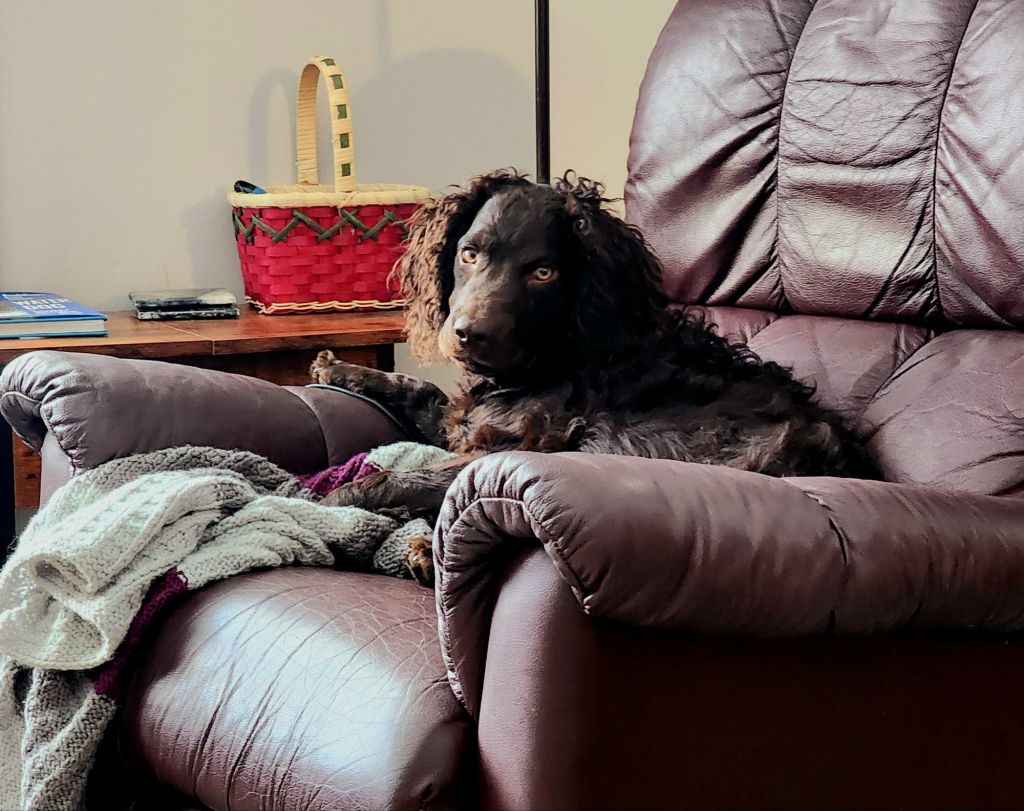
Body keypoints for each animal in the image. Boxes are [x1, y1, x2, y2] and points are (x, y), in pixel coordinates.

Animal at [312, 170, 875, 584]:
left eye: (543, 273)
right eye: (469, 253)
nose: (469, 333)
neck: (560, 355)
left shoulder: (520, 449)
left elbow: (396, 475)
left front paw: (324, 502)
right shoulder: (470, 424)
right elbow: (425, 392)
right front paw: (337, 368)